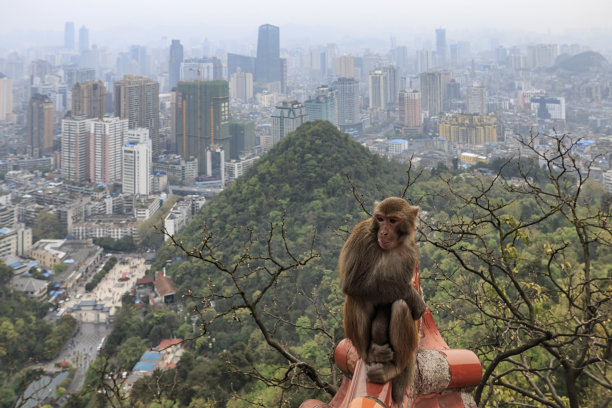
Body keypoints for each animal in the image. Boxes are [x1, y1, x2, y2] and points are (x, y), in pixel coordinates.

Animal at [340, 197, 426, 402]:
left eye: (392, 220)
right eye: (380, 219)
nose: (383, 232)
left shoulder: (410, 253)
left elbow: (392, 302)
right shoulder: (364, 240)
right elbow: (354, 283)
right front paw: (413, 296)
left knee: (401, 306)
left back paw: (394, 368)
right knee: (356, 297)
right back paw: (371, 353)